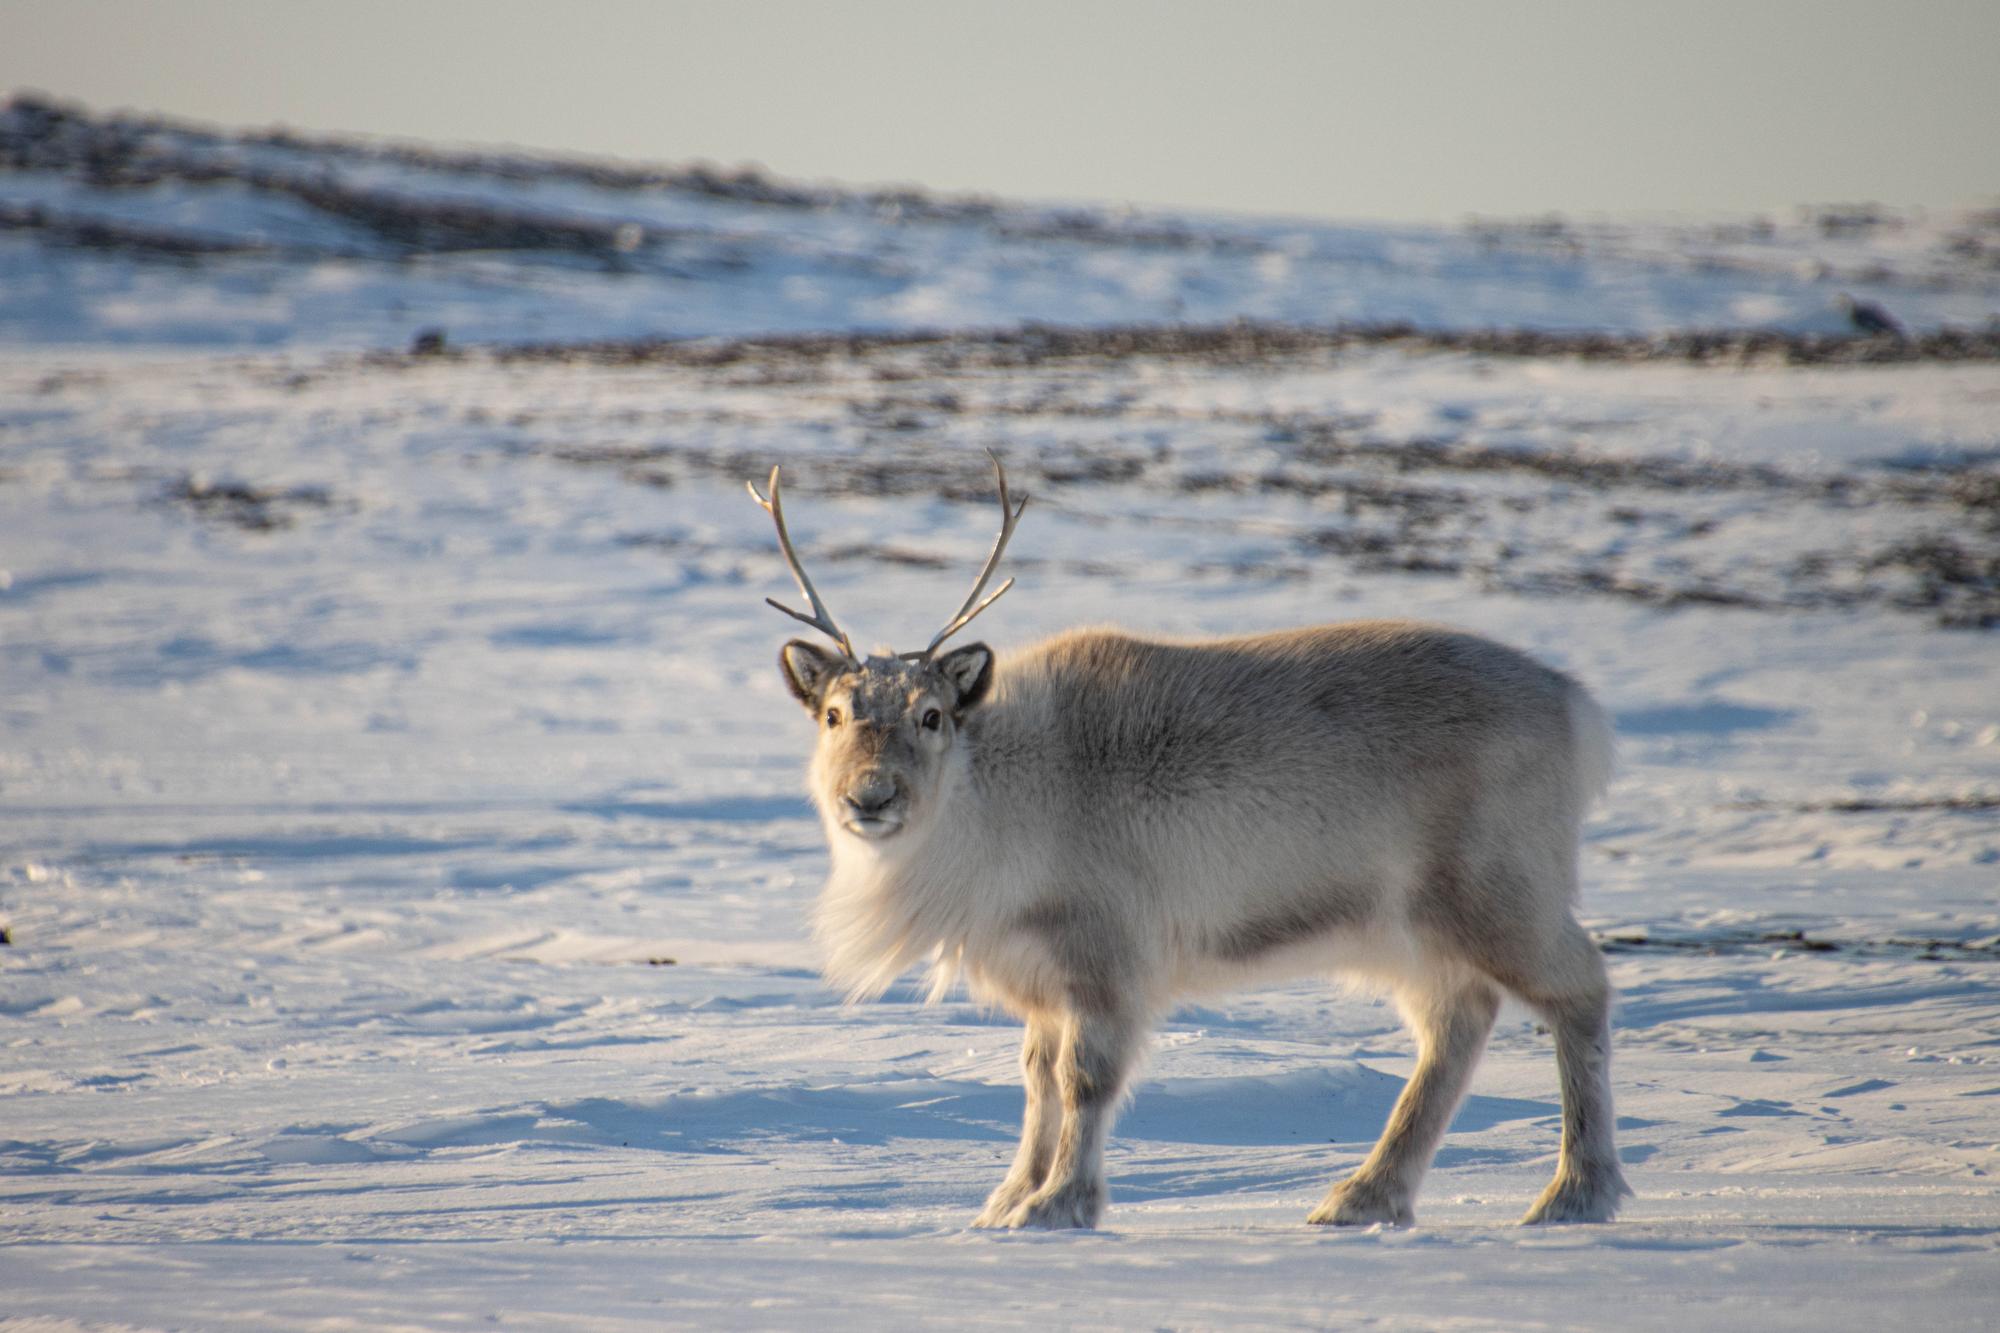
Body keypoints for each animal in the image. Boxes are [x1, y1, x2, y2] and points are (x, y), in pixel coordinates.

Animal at [750, 452, 1630, 1231]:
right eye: (834, 714)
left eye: (931, 714)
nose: (870, 796)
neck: (992, 801)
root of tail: (1578, 709)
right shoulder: (1038, 972)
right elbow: (1035, 1080)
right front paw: (1004, 1201)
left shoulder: (1107, 956)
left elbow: (1083, 1080)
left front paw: (1059, 1203)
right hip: (1410, 927)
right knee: (1458, 1024)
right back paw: (1363, 1195)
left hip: (1501, 888)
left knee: (1580, 989)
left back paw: (1576, 1191)